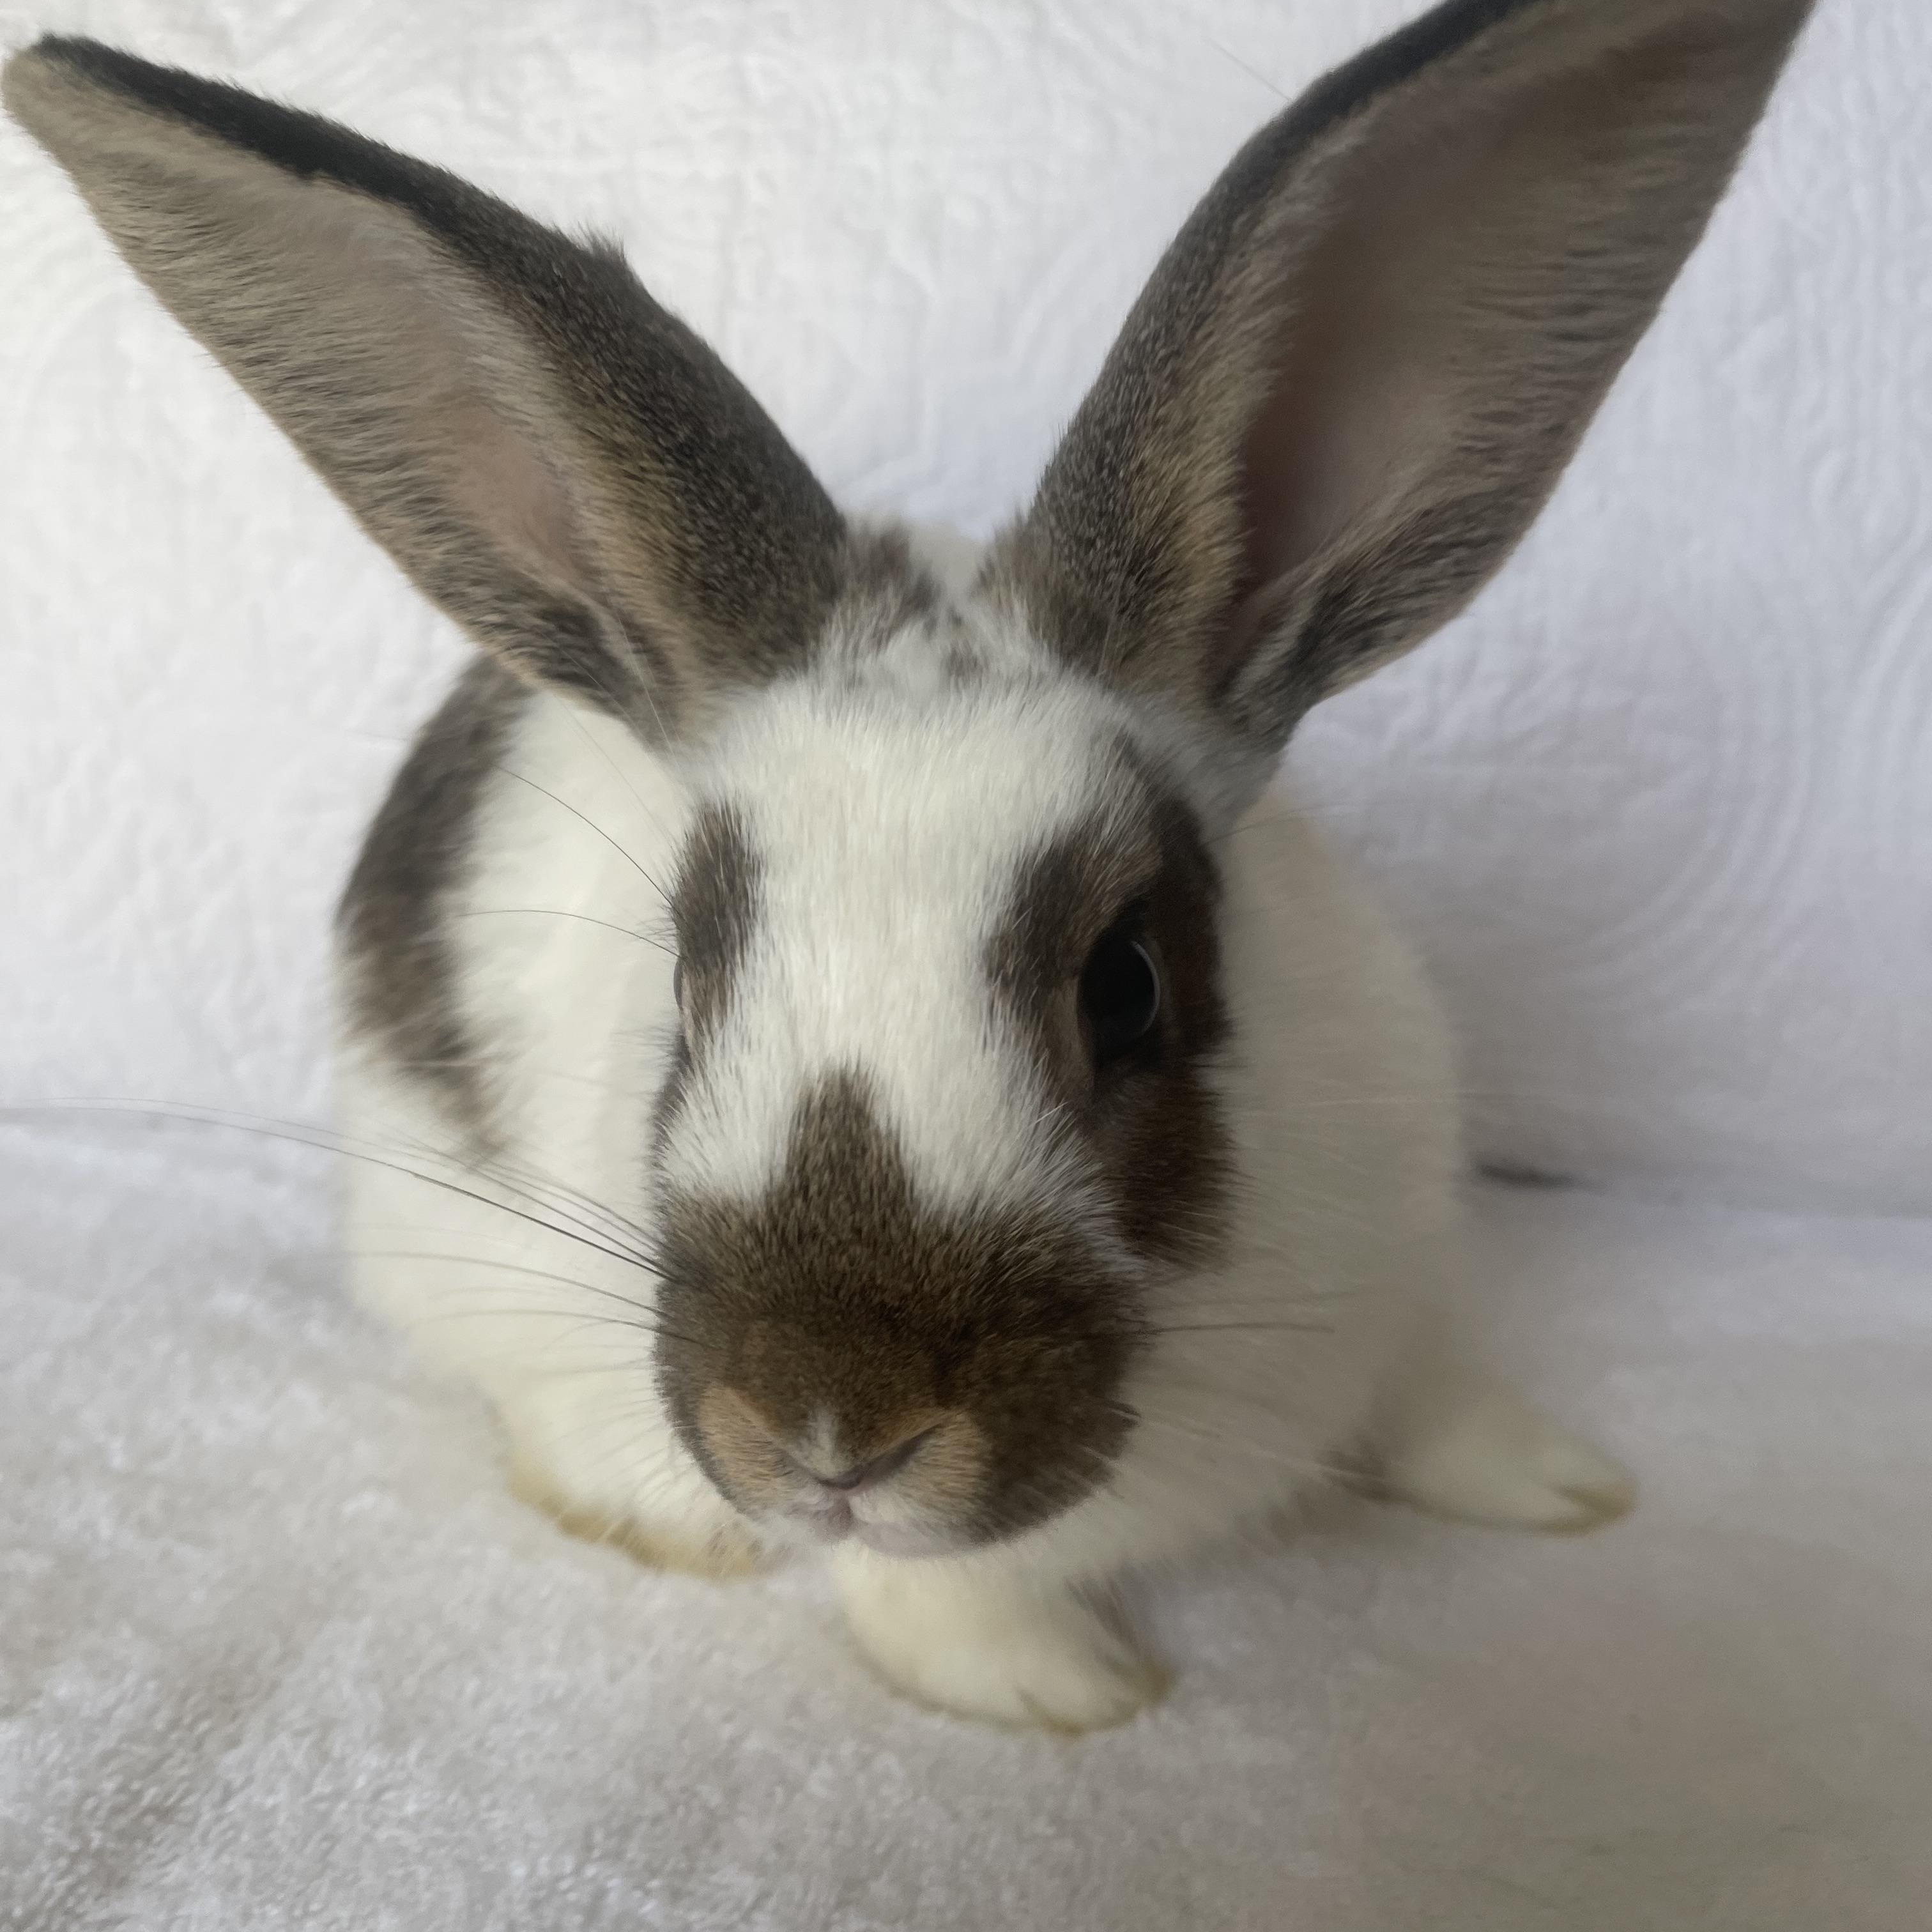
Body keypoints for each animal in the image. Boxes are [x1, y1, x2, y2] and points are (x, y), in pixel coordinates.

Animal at [5, 0, 1813, 1732]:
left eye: (1128, 983)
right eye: (687, 986)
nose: (830, 1437)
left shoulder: (1405, 1259)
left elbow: (1437, 1392)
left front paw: (1563, 1486)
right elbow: (940, 1599)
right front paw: (1063, 1693)